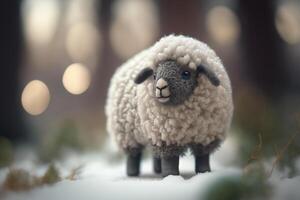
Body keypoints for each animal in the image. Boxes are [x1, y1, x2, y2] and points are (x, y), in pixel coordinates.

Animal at [105, 34, 234, 177]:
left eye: (186, 73)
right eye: (154, 75)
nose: (160, 87)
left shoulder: (206, 136)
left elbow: (203, 157)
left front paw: (204, 172)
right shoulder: (167, 137)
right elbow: (170, 159)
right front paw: (171, 175)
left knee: (155, 154)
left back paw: (157, 170)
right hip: (128, 135)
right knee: (133, 155)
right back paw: (133, 173)